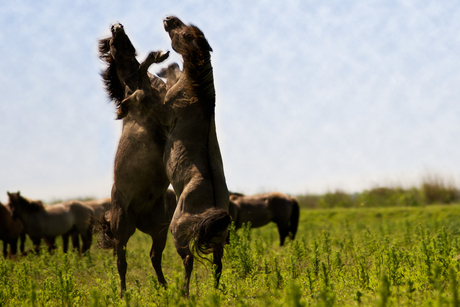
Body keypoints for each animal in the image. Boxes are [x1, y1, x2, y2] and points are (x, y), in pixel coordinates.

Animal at [98, 22, 172, 298]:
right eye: (111, 43)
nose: (116, 26)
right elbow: (137, 92)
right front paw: (122, 109)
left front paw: (160, 56)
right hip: (122, 230)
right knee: (122, 262)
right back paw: (123, 294)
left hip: (159, 226)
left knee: (154, 256)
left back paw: (165, 288)